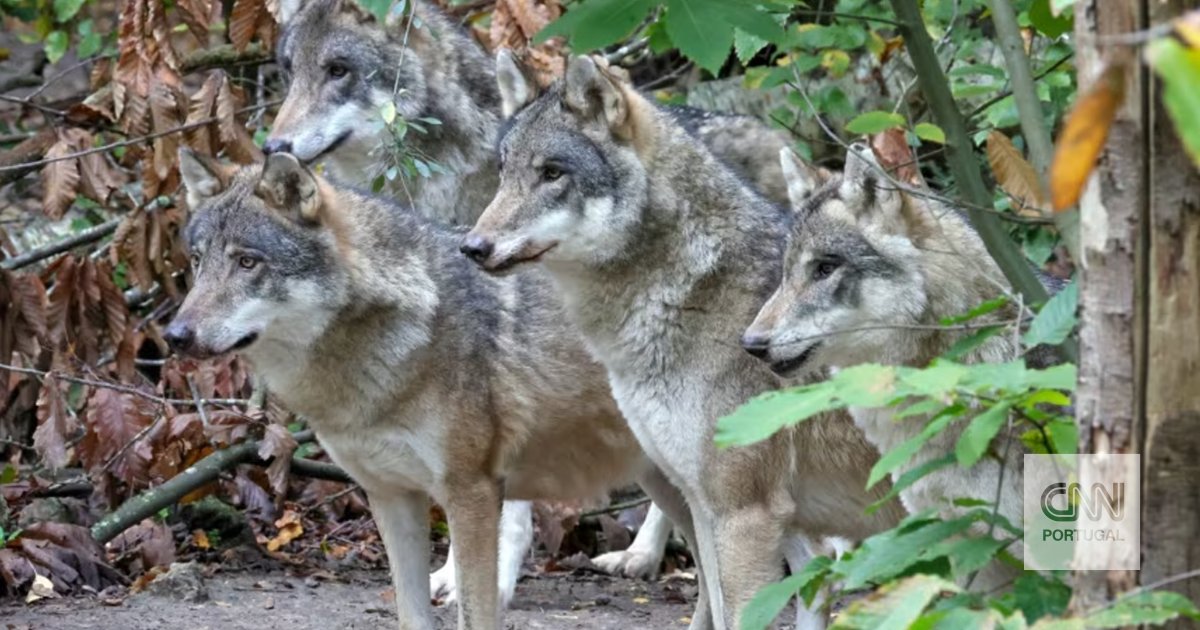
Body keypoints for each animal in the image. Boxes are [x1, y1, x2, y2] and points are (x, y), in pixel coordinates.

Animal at [165, 150, 711, 630]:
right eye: (197, 261)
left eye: (248, 262)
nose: (175, 335)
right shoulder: (391, 497)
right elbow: (410, 613)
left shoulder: (472, 493)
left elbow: (476, 612)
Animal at [461, 54, 905, 629]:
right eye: (504, 171)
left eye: (552, 173)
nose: (472, 246)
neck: (692, 293)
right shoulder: (711, 502)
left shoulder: (743, 512)